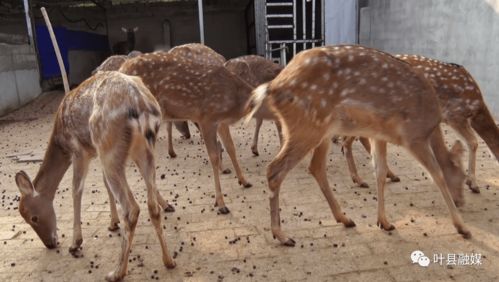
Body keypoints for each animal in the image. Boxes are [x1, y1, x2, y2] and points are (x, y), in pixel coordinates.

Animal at [14, 71, 176, 280]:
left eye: (32, 217)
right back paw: (169, 260)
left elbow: (76, 189)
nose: (50, 243)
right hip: (141, 149)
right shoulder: (94, 152)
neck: (60, 140)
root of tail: (141, 105)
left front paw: (75, 243)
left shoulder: (79, 151)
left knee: (132, 208)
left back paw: (116, 272)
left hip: (108, 147)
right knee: (151, 207)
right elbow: (104, 184)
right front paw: (113, 223)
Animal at [119, 43, 254, 214]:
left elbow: (231, 147)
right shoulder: (207, 118)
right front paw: (221, 203)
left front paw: (244, 181)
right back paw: (163, 205)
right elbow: (214, 156)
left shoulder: (221, 122)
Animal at [246, 44, 472, 247]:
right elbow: (437, 174)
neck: (430, 125)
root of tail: (272, 87)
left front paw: (384, 222)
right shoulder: (413, 136)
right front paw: (462, 227)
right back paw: (282, 235)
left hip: (321, 130)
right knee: (275, 170)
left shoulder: (380, 135)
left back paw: (345, 219)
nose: (462, 201)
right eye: (462, 176)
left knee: (316, 167)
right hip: (307, 126)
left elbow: (380, 172)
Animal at [340, 54, 499, 194]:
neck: (477, 108)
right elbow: (473, 142)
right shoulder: (454, 115)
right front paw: (473, 184)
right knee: (350, 139)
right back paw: (361, 179)